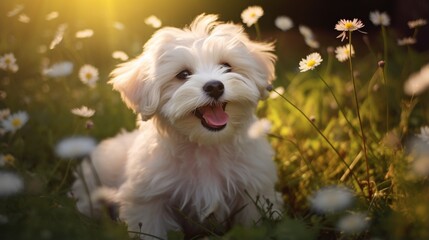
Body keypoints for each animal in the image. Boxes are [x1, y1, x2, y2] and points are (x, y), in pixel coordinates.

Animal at [71, 14, 280, 239]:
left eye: (227, 66)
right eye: (183, 74)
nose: (215, 86)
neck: (206, 146)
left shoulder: (254, 190)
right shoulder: (149, 200)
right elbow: (150, 228)